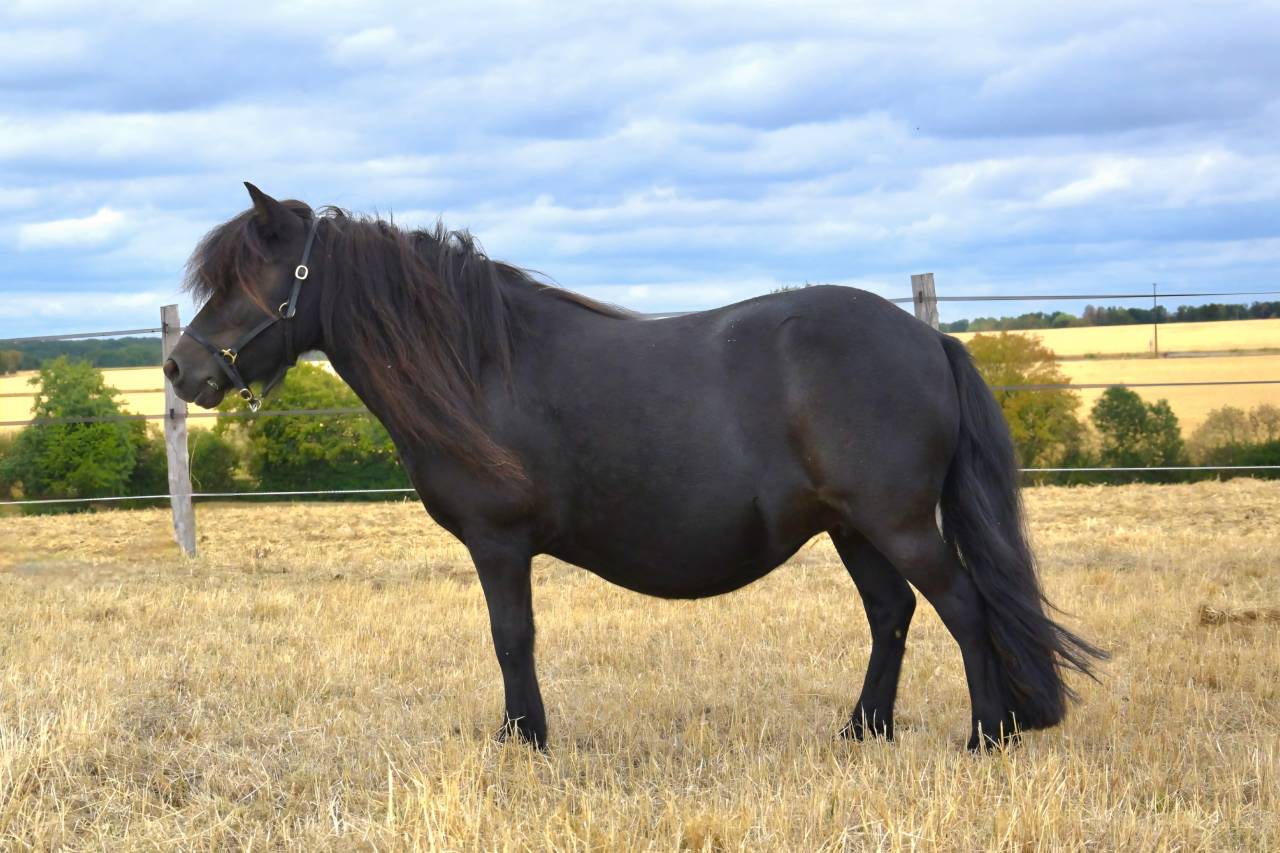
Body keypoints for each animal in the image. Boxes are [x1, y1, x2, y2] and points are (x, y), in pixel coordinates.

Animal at [164, 183, 1102, 751]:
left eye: (255, 275)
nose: (180, 368)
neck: (480, 363)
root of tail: (929, 339)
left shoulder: (498, 542)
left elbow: (512, 636)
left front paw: (524, 739)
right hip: (852, 527)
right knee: (892, 614)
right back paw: (862, 730)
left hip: (897, 521)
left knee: (962, 607)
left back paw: (985, 736)